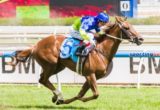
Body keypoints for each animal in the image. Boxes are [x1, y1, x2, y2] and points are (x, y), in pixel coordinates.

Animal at [8, 16, 144, 105]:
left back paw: (57, 97)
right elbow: (95, 94)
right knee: (43, 80)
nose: (141, 39)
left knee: (44, 79)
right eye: (126, 27)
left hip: (58, 66)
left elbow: (81, 93)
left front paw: (66, 101)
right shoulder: (90, 74)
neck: (101, 51)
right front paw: (71, 100)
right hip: (50, 64)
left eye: (132, 26)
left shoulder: (93, 76)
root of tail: (35, 46)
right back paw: (59, 95)